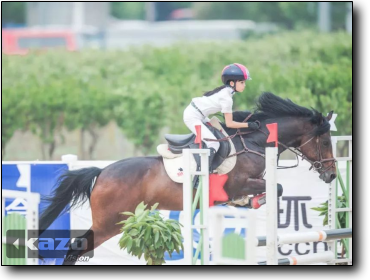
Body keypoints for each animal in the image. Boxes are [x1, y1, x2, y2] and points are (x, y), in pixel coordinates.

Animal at [39, 92, 336, 264]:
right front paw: (252, 202)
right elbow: (277, 187)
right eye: (324, 141)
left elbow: (275, 188)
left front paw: (249, 203)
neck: (255, 142)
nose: (332, 174)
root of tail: (102, 173)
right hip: (109, 222)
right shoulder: (239, 184)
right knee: (77, 248)